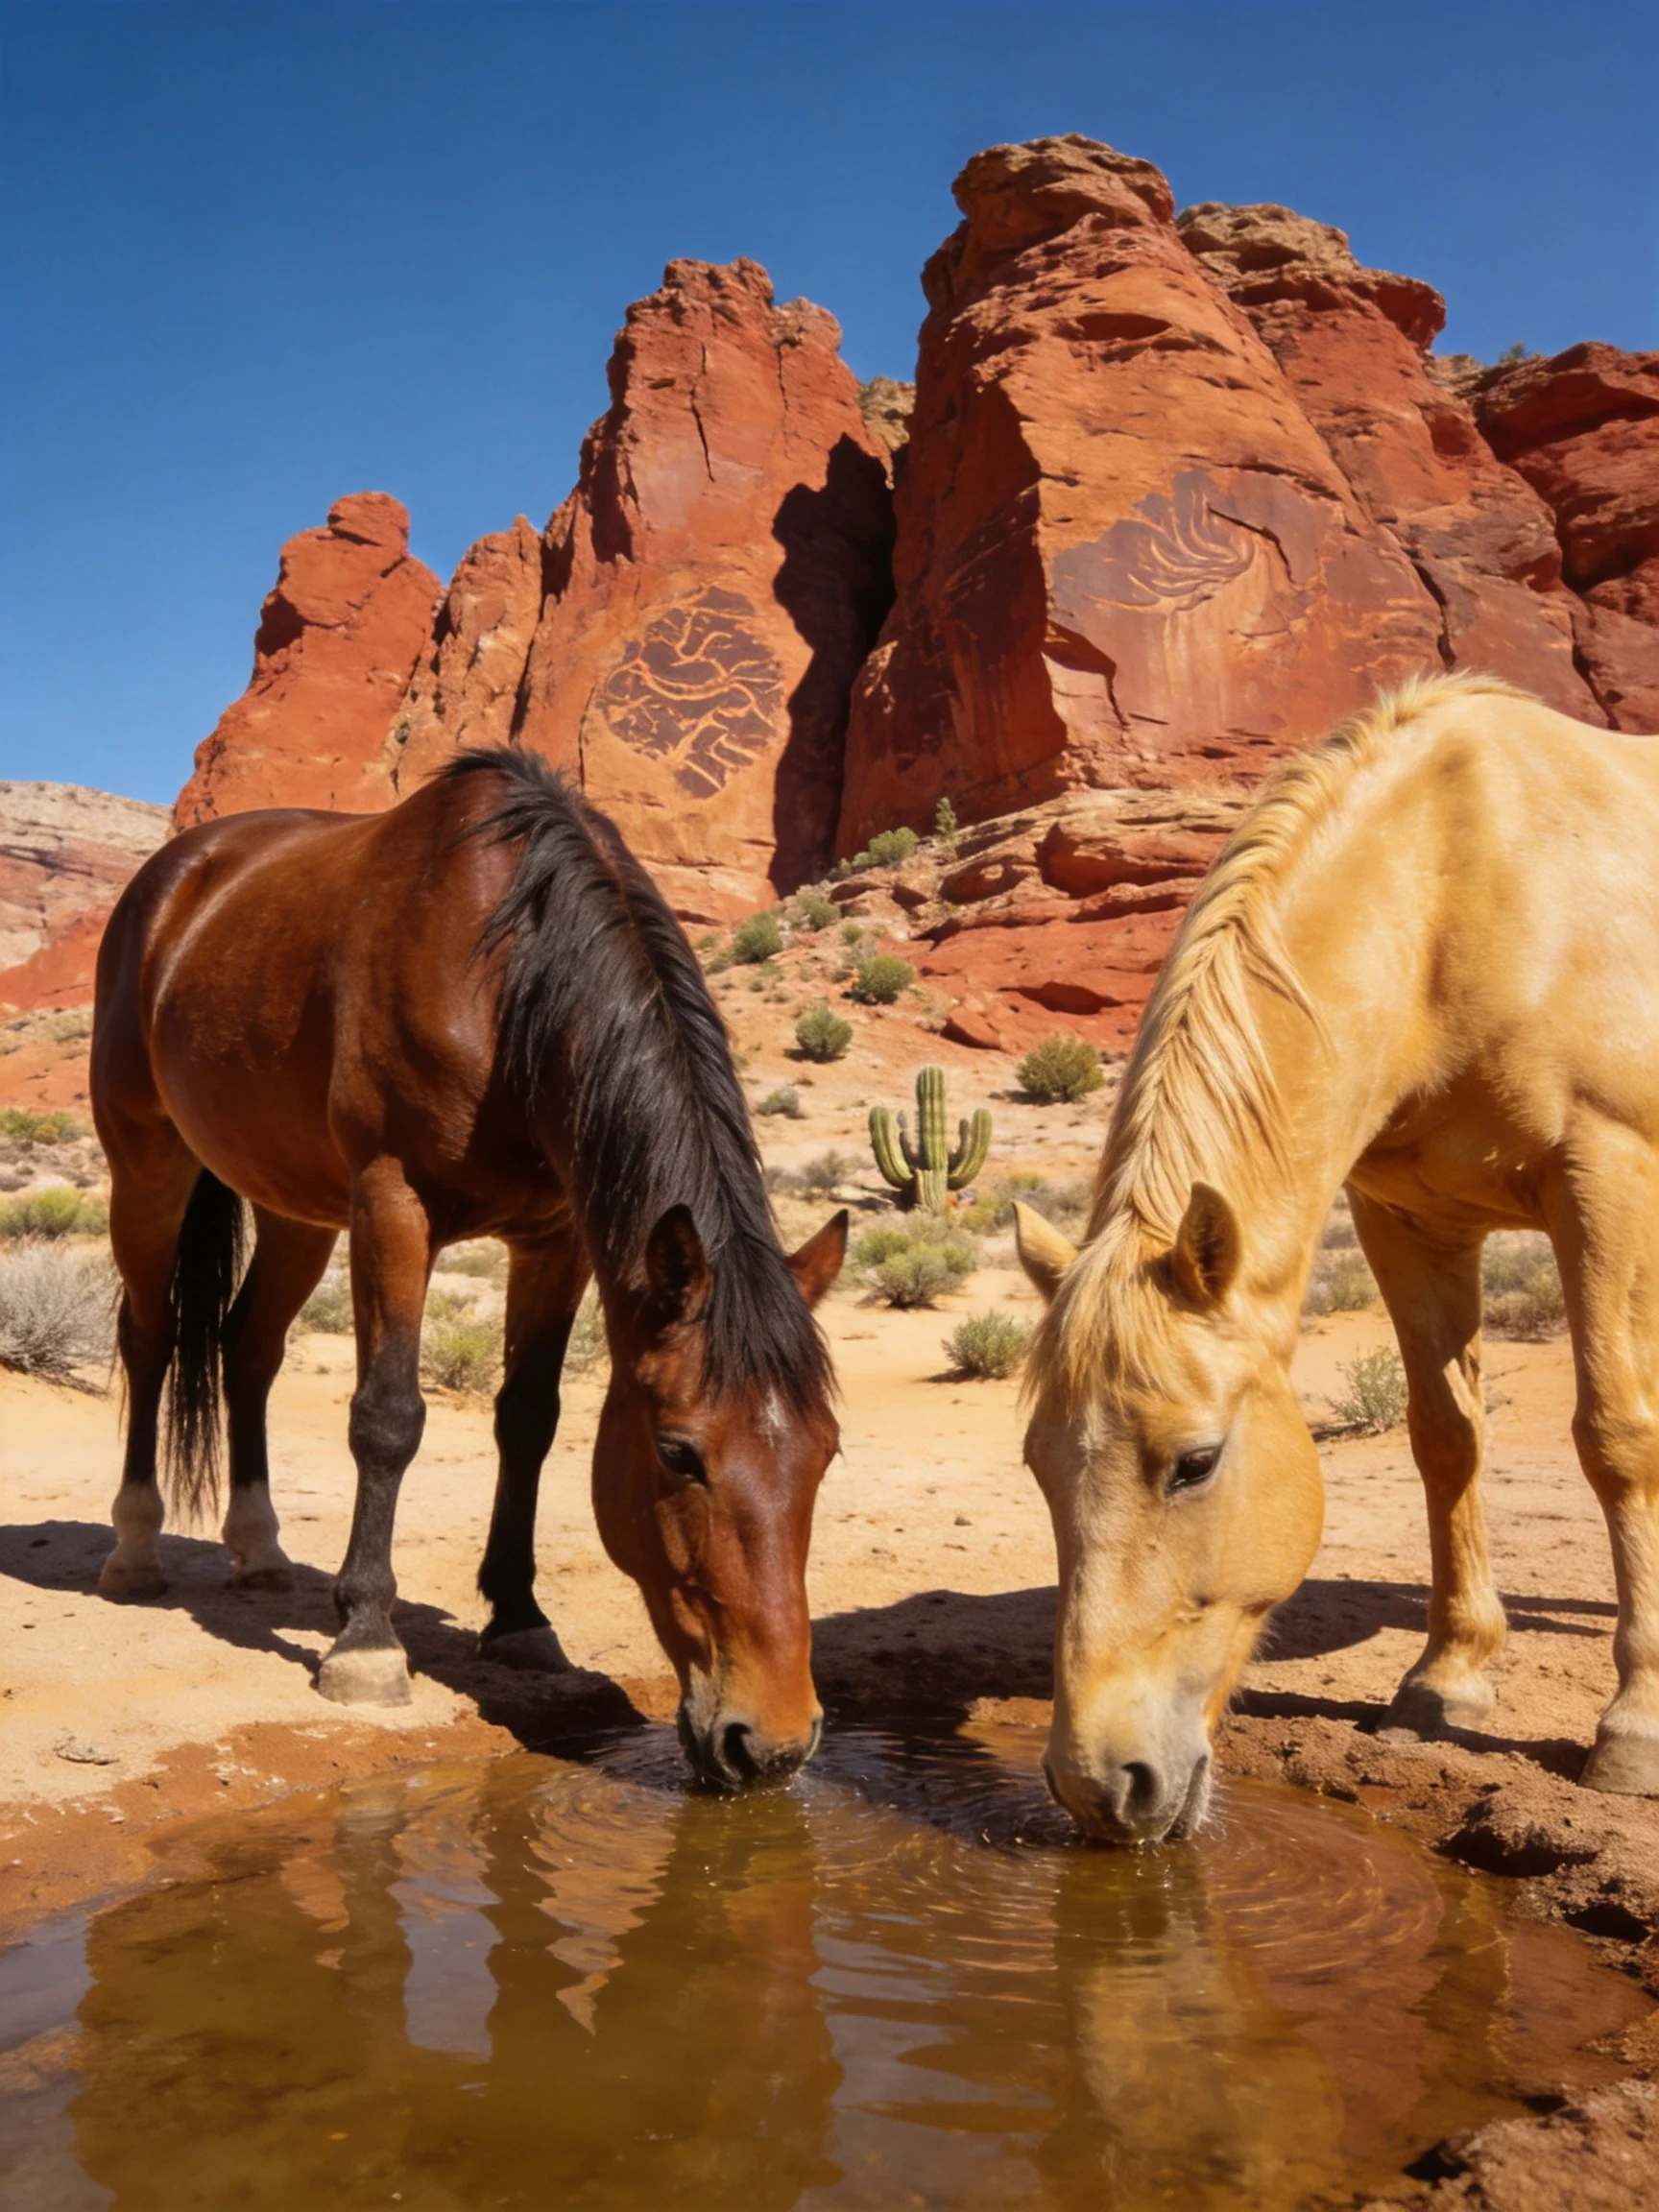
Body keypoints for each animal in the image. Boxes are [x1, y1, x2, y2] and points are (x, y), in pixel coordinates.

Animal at [89, 747, 847, 1784]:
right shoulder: (393, 1205)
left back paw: (260, 1549)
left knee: (249, 1351)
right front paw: (366, 1642)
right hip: (149, 1164)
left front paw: (520, 1619)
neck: (508, 977)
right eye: (678, 1454)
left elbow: (528, 1419)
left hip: (294, 1208)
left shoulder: (557, 1238)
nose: (769, 1746)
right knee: (153, 1334)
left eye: (826, 1453)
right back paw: (134, 1549)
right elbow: (388, 1419)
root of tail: (174, 876)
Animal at [1013, 672, 1659, 1843]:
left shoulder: (1608, 1177)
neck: (1462, 892)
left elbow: (1616, 1437)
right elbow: (1445, 1437)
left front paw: (1634, 1725)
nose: (1100, 1787)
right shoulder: (1409, 1220)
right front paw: (1447, 1679)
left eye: (1195, 1463)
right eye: (1040, 1466)